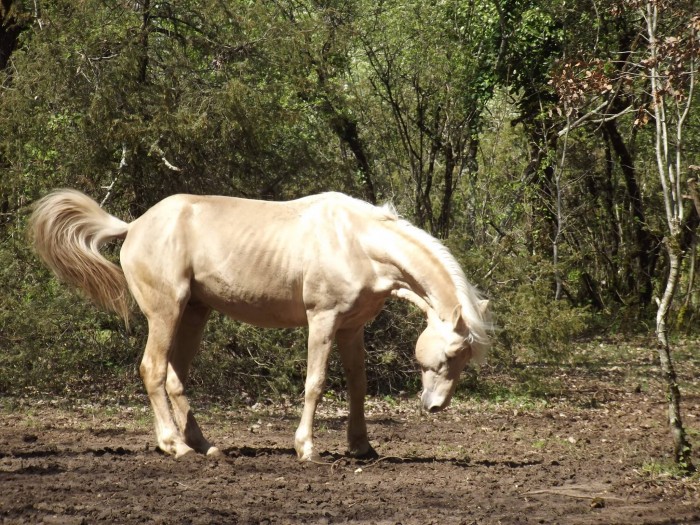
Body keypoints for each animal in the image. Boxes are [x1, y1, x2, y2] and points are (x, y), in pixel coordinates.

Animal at [30, 190, 492, 460]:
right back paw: (174, 446)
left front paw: (362, 447)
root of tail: (135, 225)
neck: (356, 240)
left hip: (194, 312)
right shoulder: (322, 321)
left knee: (176, 377)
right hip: (166, 313)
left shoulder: (351, 328)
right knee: (153, 371)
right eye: (451, 353)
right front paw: (305, 448)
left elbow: (358, 385)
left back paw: (205, 446)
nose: (435, 406)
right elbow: (315, 383)